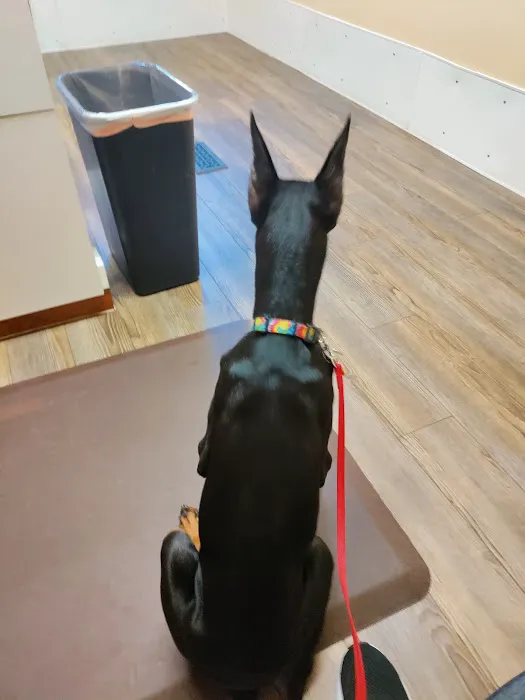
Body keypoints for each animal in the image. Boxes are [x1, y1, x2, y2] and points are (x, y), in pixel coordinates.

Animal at [161, 112, 351, 700]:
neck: (281, 331)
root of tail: (240, 669)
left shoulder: (206, 446)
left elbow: (202, 456)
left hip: (191, 551)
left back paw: (193, 517)